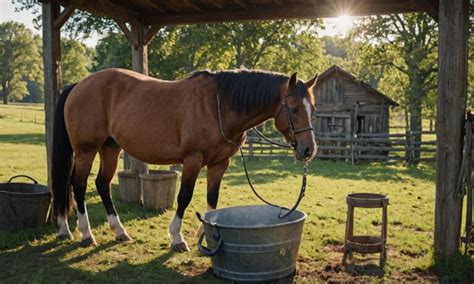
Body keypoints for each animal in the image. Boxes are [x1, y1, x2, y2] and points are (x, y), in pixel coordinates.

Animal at [51, 68, 316, 251]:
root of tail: (79, 85)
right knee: (78, 185)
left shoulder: (220, 163)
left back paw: (116, 231)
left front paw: (206, 234)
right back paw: (85, 233)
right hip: (86, 151)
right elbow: (184, 197)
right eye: (293, 108)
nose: (308, 150)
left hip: (110, 148)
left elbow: (212, 198)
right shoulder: (192, 160)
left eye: (312, 108)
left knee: (102, 184)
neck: (218, 106)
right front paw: (177, 238)